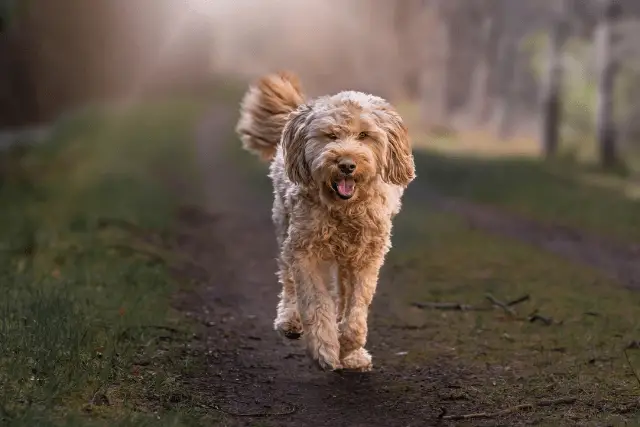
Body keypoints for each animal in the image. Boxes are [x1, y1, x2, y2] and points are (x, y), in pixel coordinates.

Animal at [235, 72, 416, 372]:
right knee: (288, 280)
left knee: (341, 292)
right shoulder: (305, 251)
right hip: (285, 226)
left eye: (364, 135)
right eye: (331, 135)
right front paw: (325, 349)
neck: (344, 210)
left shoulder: (367, 256)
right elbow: (315, 302)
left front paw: (350, 347)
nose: (346, 164)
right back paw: (290, 321)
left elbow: (357, 307)